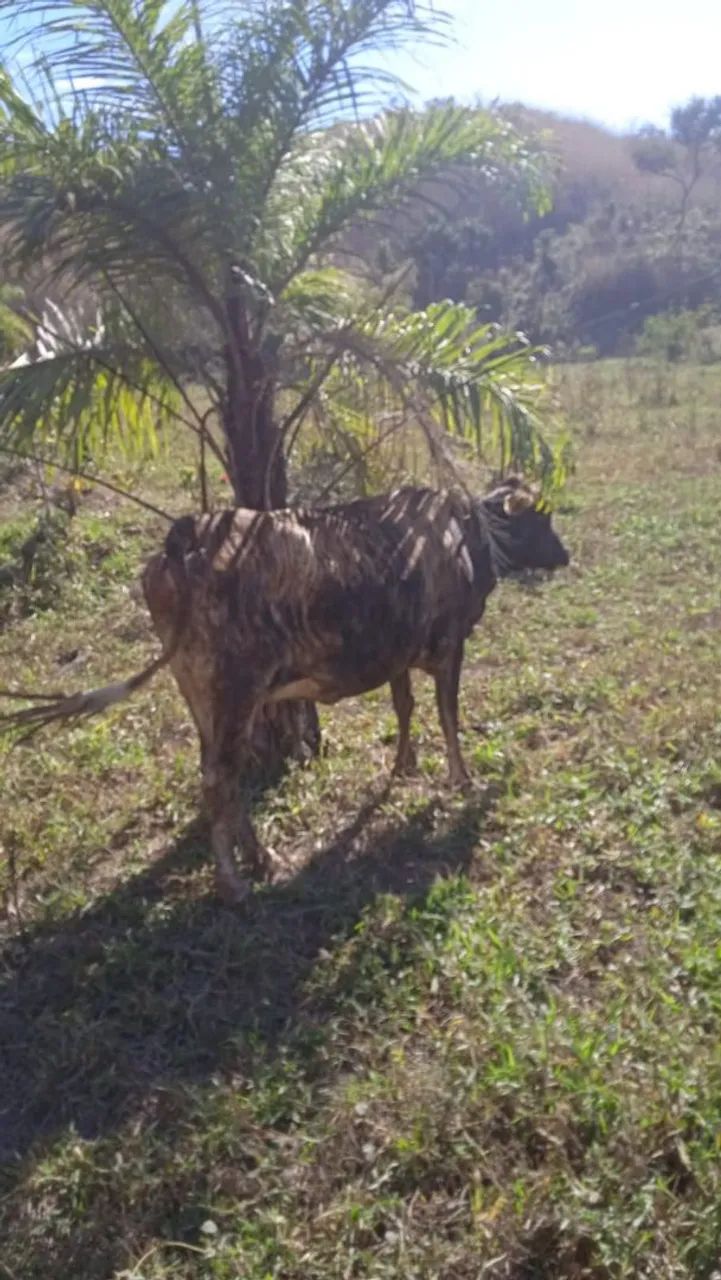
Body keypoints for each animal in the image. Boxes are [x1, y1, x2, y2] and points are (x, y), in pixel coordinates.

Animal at [0, 476, 569, 901]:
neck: (462, 537)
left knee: (224, 776)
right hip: (235, 692)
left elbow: (404, 707)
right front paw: (462, 778)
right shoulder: (449, 646)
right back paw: (234, 881)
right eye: (539, 518)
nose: (564, 555)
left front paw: (403, 767)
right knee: (220, 779)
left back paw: (260, 858)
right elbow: (448, 716)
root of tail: (187, 535)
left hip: (201, 697)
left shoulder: (396, 652)